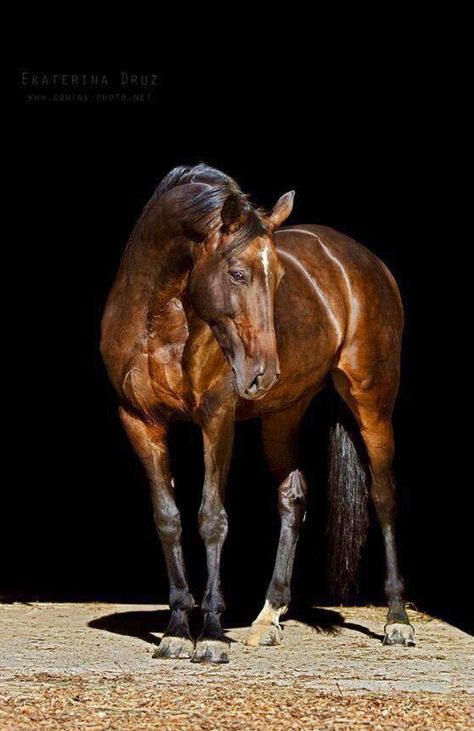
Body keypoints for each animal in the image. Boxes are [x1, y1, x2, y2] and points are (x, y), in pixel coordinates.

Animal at [101, 164, 414, 664]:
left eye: (279, 276)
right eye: (237, 272)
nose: (261, 372)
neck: (159, 321)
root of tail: (361, 260)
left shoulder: (217, 417)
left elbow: (212, 518)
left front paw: (209, 635)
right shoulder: (140, 422)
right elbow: (168, 519)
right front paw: (176, 629)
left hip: (372, 402)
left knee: (383, 497)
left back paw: (397, 619)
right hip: (282, 415)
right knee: (293, 499)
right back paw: (269, 617)